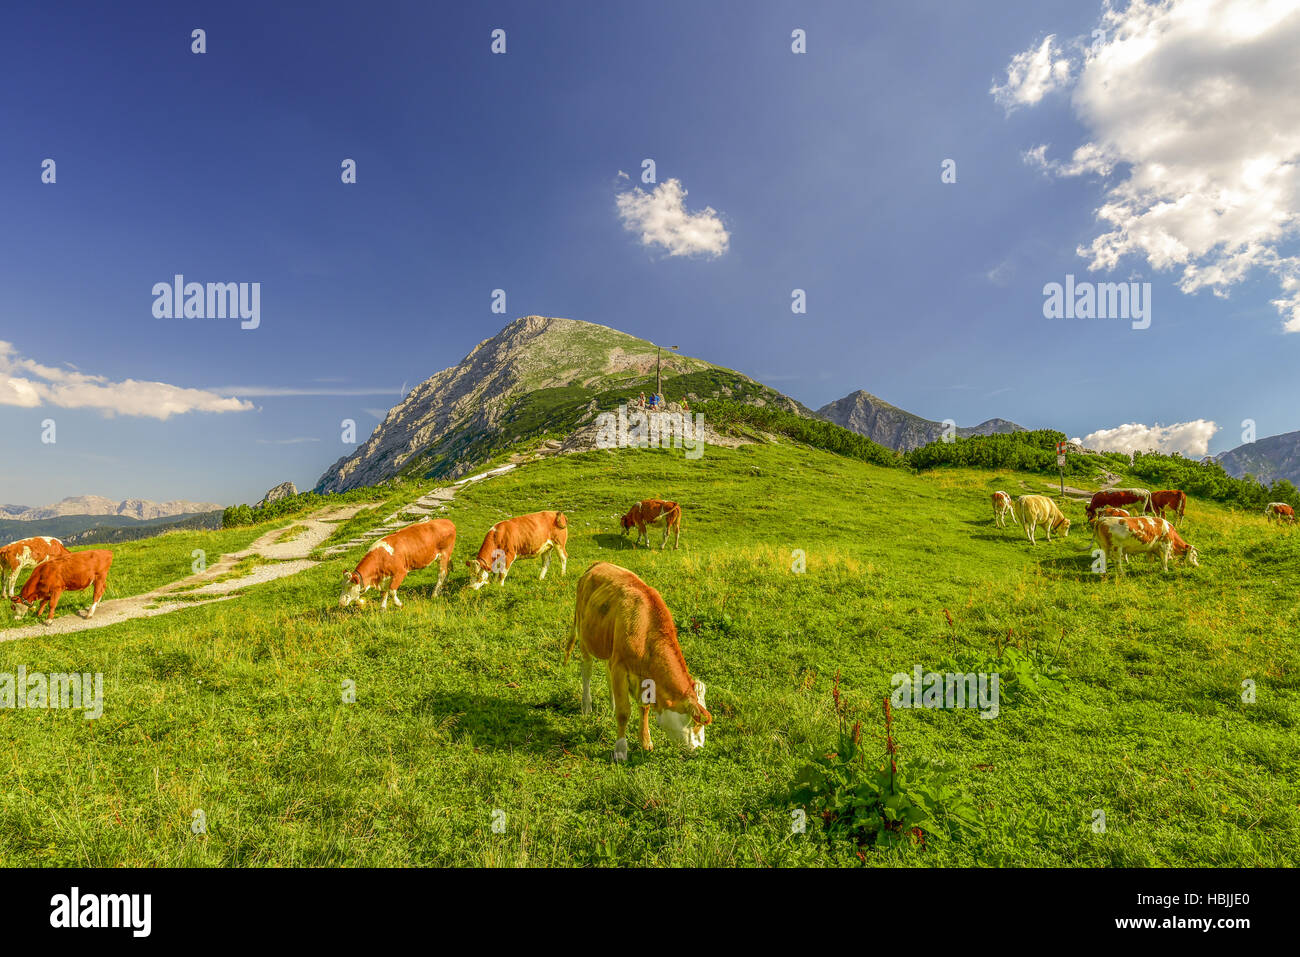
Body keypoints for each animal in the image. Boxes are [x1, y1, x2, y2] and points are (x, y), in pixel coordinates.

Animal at [564, 561, 712, 764]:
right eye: (695, 723)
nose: (698, 748)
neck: (645, 632)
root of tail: (599, 564)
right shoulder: (620, 667)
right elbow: (624, 712)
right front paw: (620, 750)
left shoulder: (641, 676)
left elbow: (644, 708)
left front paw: (645, 741)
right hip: (585, 635)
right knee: (587, 669)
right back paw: (586, 705)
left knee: (607, 673)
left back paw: (611, 703)